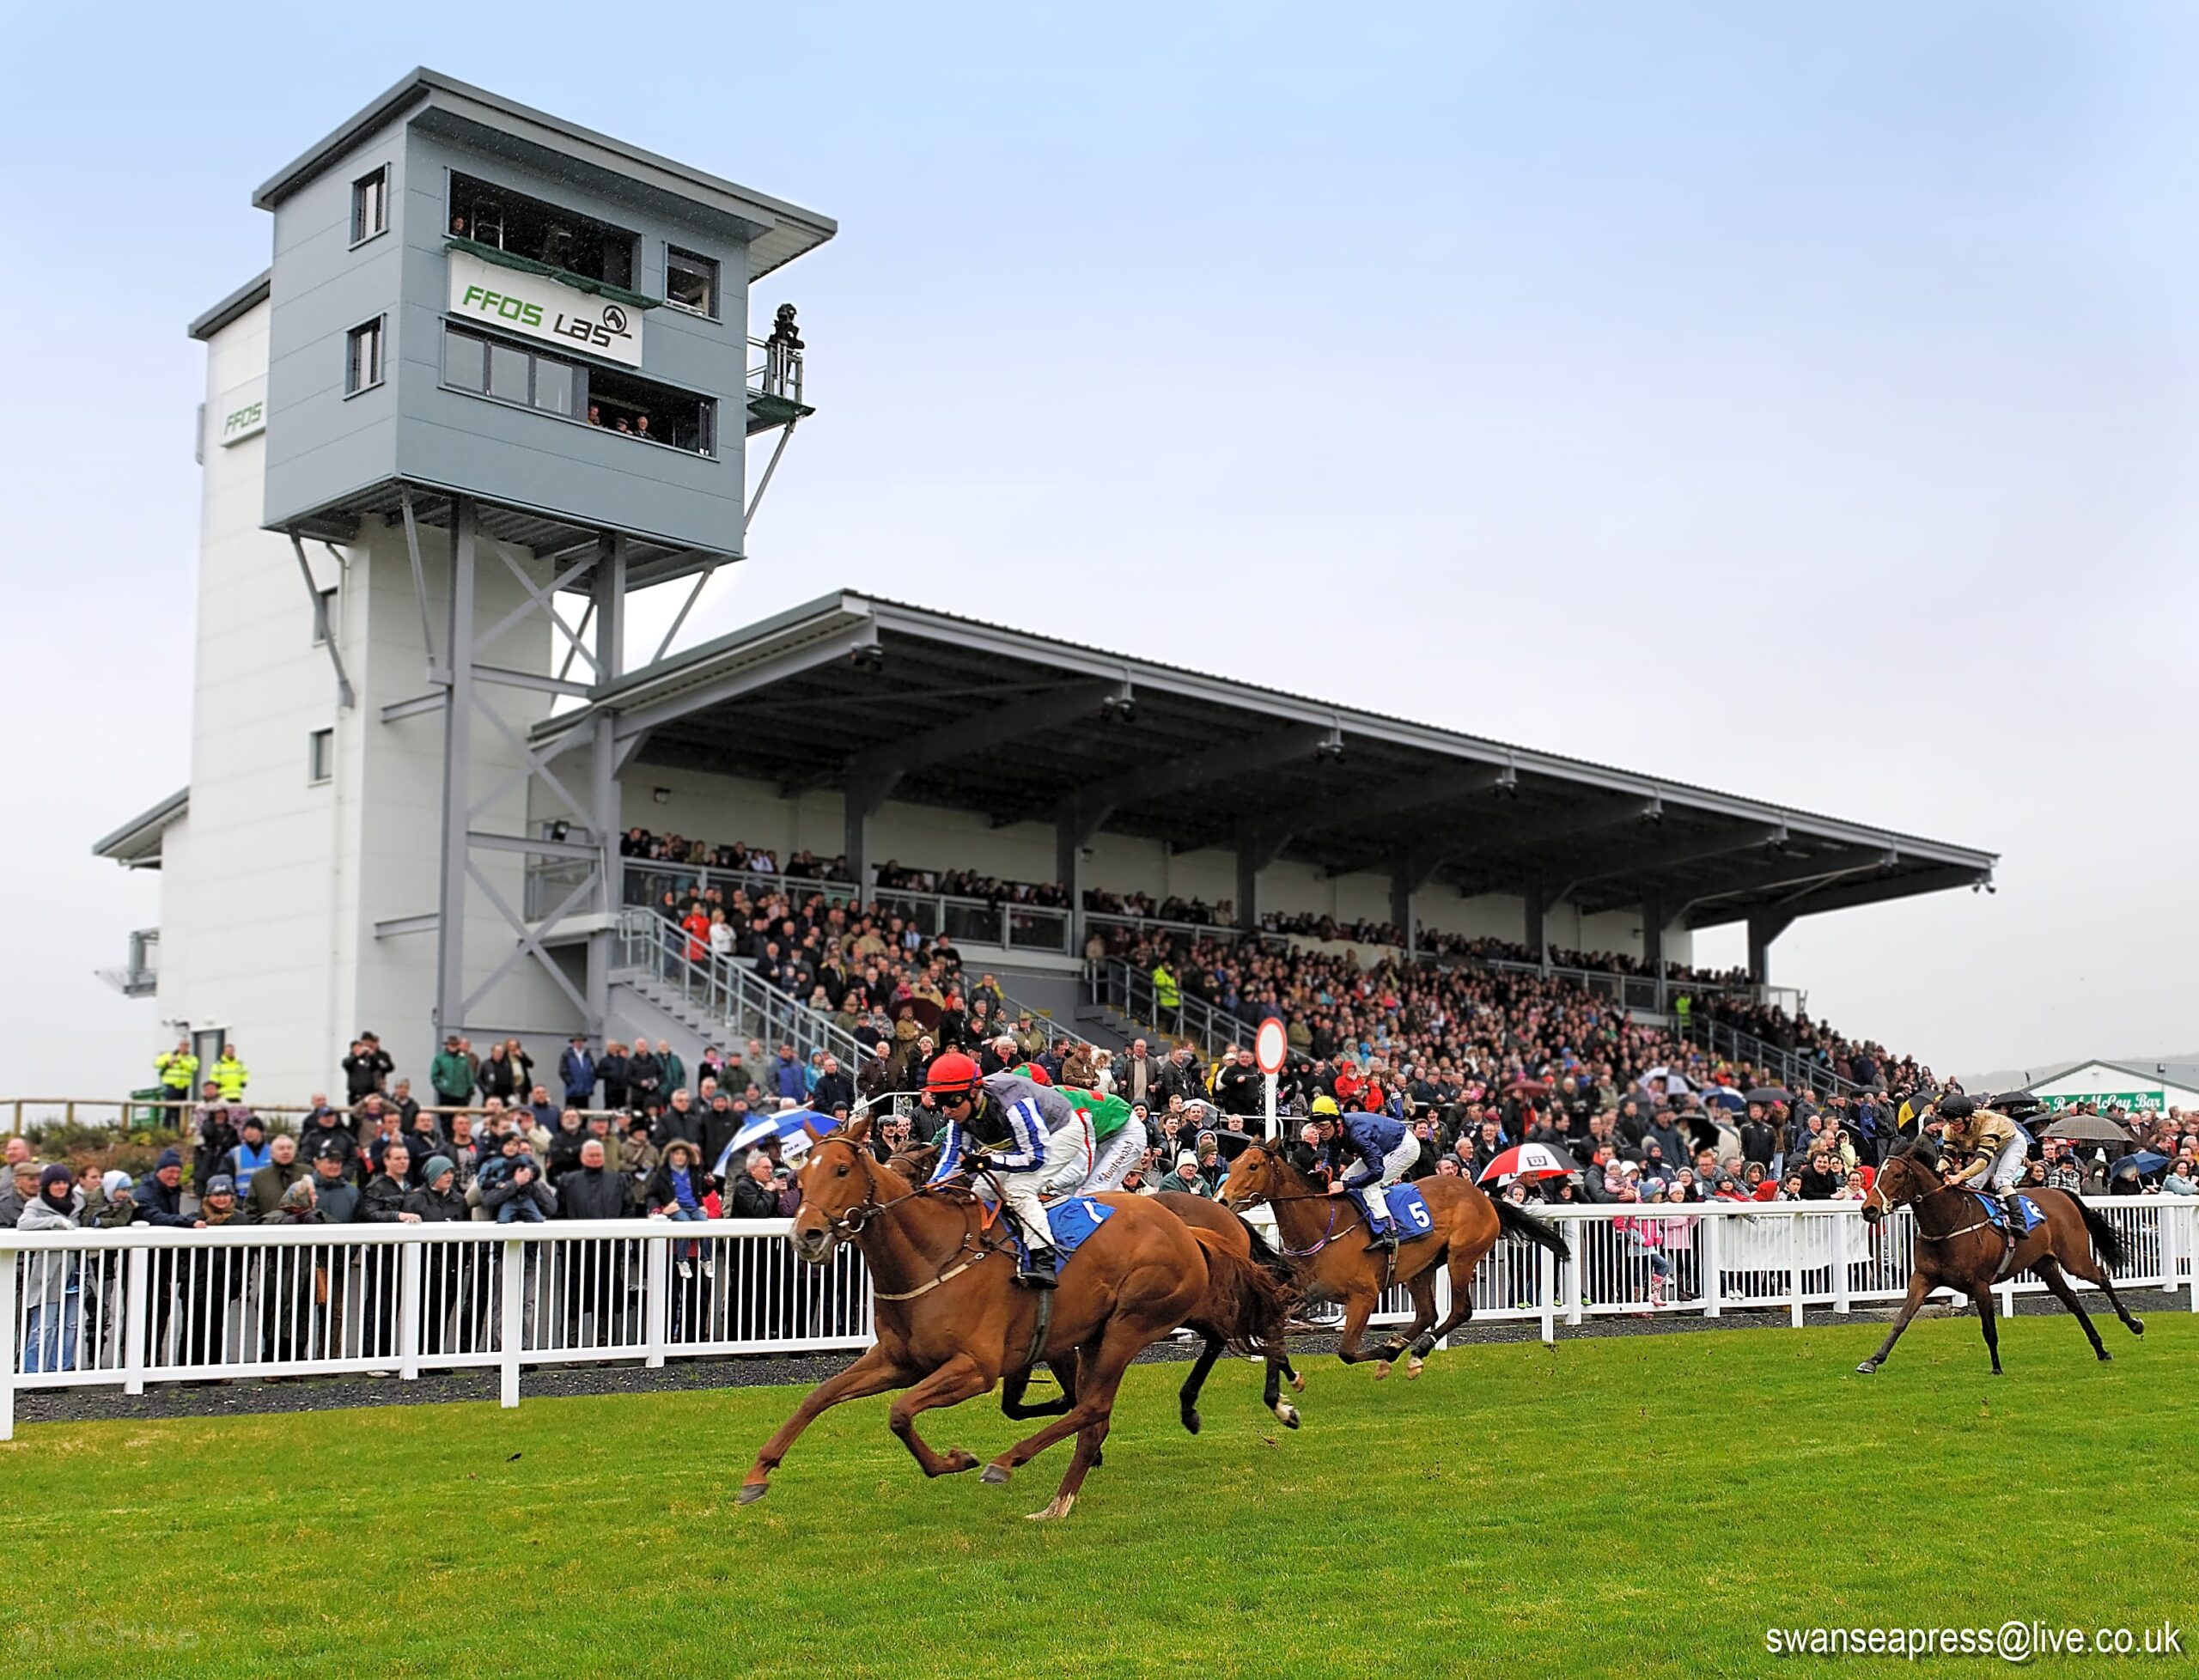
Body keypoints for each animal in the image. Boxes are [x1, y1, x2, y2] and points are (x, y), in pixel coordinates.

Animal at [743, 1117, 1284, 1521]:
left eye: (840, 1170)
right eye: (798, 1178)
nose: (806, 1235)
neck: (933, 1255)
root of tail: (1188, 1229)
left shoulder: (976, 1368)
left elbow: (900, 1412)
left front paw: (958, 1459)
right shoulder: (899, 1360)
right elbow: (819, 1397)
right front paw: (757, 1474)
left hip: (1131, 1323)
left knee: (1097, 1405)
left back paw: (1011, 1464)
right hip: (1103, 1333)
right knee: (1098, 1410)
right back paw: (1059, 1499)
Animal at [1222, 1143, 1565, 1380]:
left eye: (1252, 1165)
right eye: (1234, 1162)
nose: (1223, 1199)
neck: (1323, 1227)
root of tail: (1484, 1197)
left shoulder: (1364, 1295)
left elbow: (1346, 1352)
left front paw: (1386, 1352)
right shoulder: (1299, 1290)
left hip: (1462, 1257)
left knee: (1459, 1311)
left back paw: (1412, 1351)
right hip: (1421, 1269)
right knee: (1428, 1313)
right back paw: (1404, 1350)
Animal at [1855, 1143, 2146, 1380]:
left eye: (1897, 1175)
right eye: (1877, 1173)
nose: (1869, 1209)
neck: (1947, 1222)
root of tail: (2062, 1194)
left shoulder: (1980, 1284)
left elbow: (1989, 1329)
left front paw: (1996, 1367)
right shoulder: (1923, 1278)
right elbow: (1902, 1320)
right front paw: (1873, 1360)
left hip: (2074, 1258)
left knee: (2102, 1278)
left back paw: (2132, 1323)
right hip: (2045, 1265)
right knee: (2073, 1302)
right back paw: (2100, 1349)